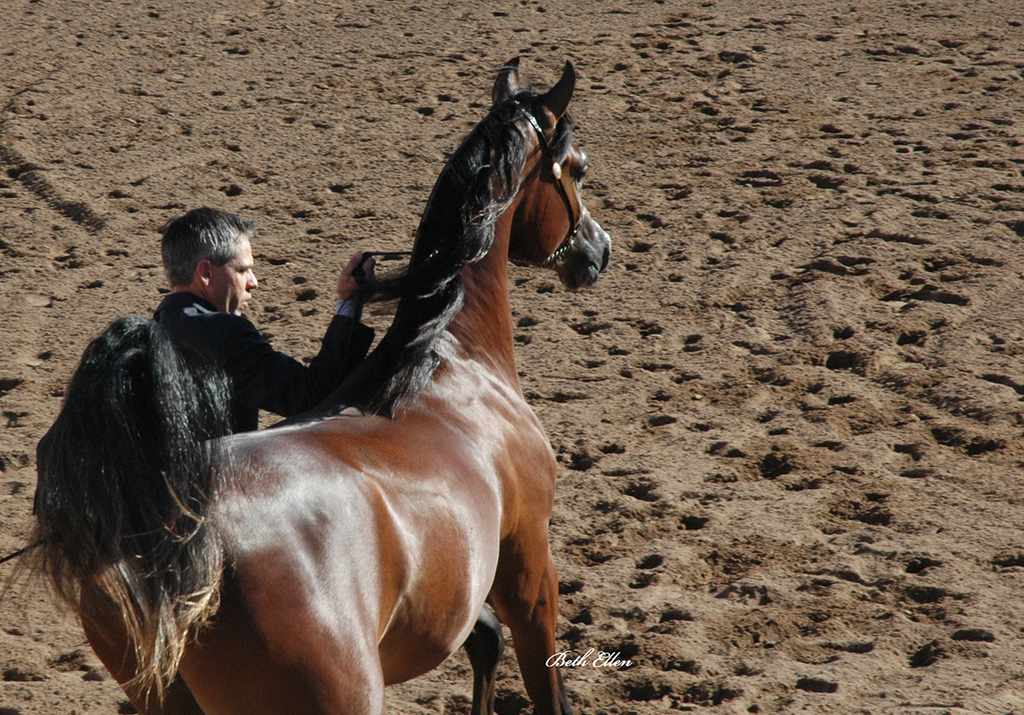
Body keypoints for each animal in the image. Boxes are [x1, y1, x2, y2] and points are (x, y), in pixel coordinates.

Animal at [31, 57, 610, 715]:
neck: (448, 363)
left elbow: (484, 641)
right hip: (344, 691)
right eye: (578, 167)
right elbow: (544, 683)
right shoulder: (528, 564)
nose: (598, 250)